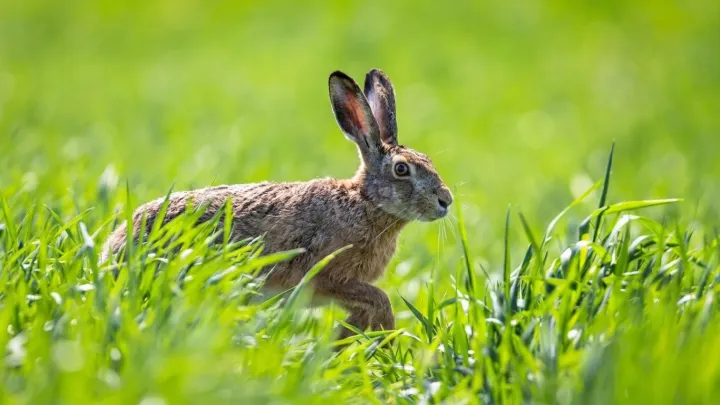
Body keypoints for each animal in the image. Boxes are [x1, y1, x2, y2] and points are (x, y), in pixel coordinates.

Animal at [100, 69, 453, 341]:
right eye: (401, 169)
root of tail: (112, 251)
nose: (446, 201)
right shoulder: (326, 278)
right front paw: (378, 342)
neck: (366, 203)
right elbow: (379, 300)